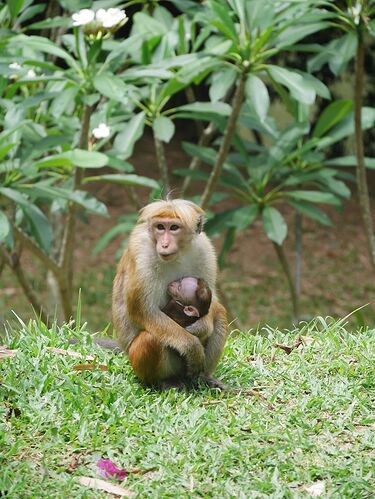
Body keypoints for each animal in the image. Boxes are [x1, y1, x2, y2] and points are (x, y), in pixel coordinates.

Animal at [112, 198, 229, 386]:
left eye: (174, 227)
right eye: (160, 227)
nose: (164, 244)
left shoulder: (204, 247)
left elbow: (213, 300)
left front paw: (202, 326)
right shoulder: (141, 252)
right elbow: (143, 311)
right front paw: (191, 346)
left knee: (220, 313)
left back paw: (204, 379)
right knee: (149, 339)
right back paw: (161, 383)